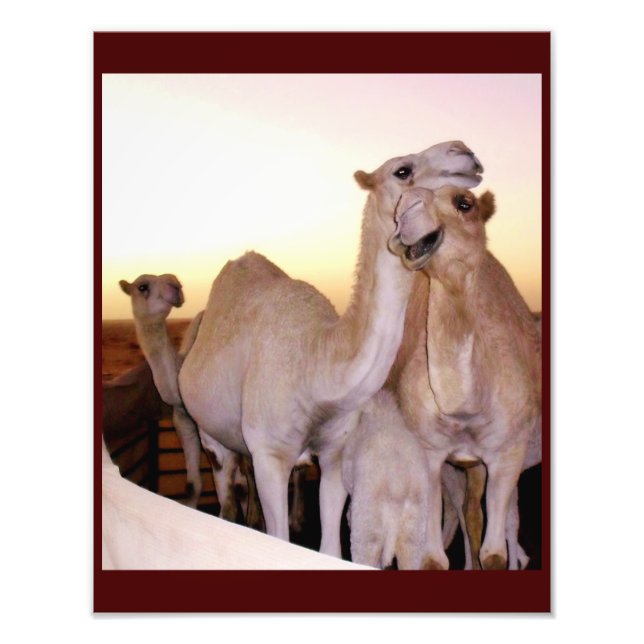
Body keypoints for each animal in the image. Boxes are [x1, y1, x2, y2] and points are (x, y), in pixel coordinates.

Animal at [178, 141, 484, 556]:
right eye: (402, 171)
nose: (464, 151)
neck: (317, 366)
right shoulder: (270, 455)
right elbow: (279, 539)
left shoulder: (335, 452)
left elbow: (330, 548)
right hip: (209, 436)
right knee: (226, 497)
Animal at [388, 186, 541, 570]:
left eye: (464, 203)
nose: (406, 207)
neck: (466, 406)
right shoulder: (428, 453)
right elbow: (433, 559)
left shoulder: (509, 453)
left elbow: (495, 554)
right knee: (468, 510)